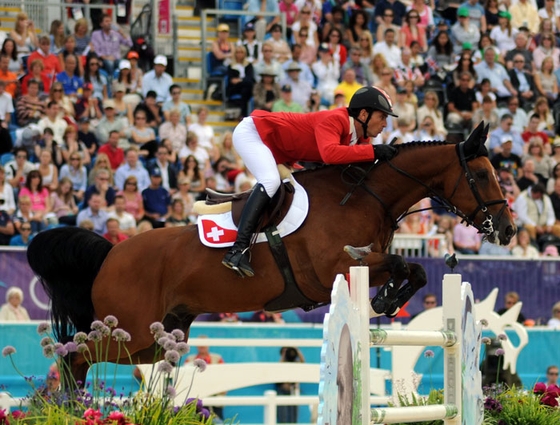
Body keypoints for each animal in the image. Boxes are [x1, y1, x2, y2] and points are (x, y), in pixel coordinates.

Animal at [26, 121, 516, 382]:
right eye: (483, 175)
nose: (509, 230)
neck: (365, 196)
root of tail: (111, 254)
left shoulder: (361, 264)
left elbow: (415, 271)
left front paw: (386, 300)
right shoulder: (336, 266)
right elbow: (405, 264)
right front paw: (385, 299)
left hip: (156, 335)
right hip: (127, 330)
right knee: (76, 357)